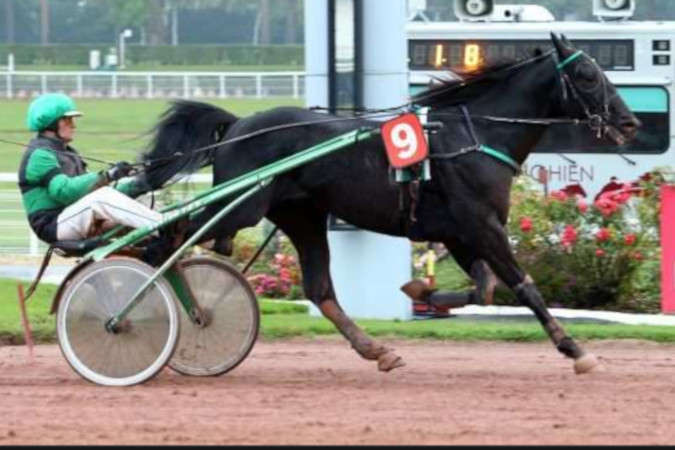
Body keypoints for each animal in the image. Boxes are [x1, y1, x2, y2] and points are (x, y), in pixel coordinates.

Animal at [138, 34, 640, 374]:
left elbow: (484, 288)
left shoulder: (459, 232)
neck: (475, 136)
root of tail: (238, 124)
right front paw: (576, 350)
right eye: (588, 75)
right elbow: (524, 286)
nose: (629, 122)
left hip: (301, 216)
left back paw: (376, 349)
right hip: (243, 205)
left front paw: (422, 292)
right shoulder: (481, 226)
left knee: (319, 288)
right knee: (172, 236)